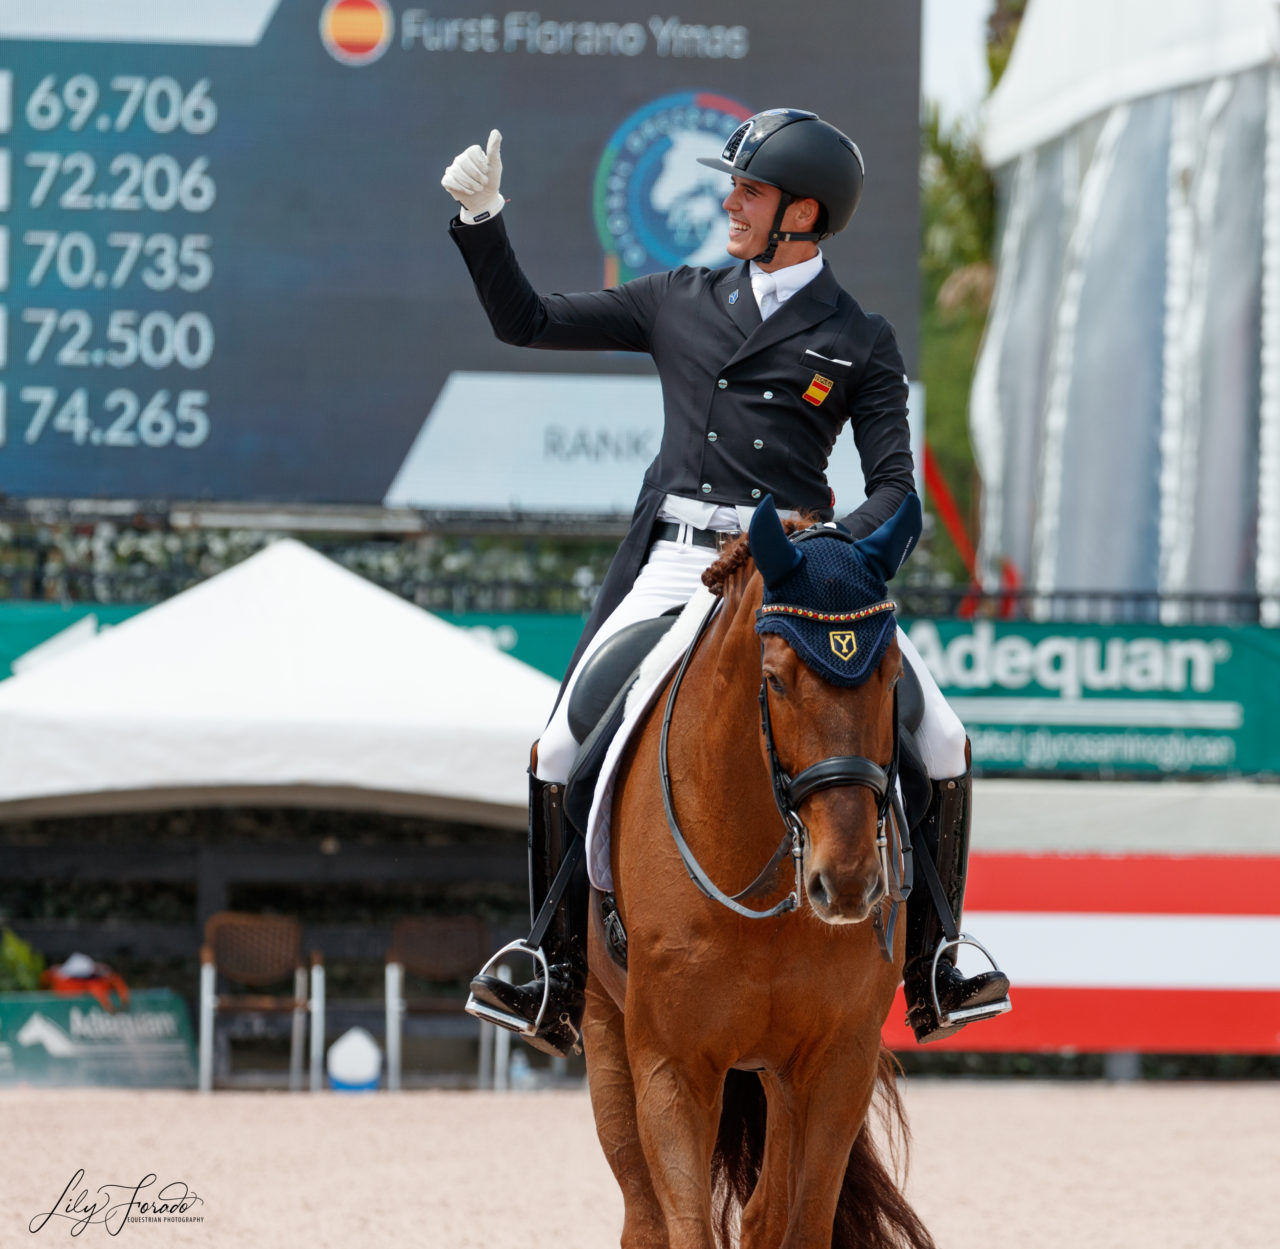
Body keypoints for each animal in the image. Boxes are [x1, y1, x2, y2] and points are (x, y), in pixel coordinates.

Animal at [581, 496, 931, 1249]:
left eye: (892, 679)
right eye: (774, 679)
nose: (848, 880)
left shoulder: (838, 1060)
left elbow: (801, 1223)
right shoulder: (672, 1064)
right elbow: (684, 1227)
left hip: (781, 1072)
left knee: (765, 1214)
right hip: (603, 1026)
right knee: (643, 1219)